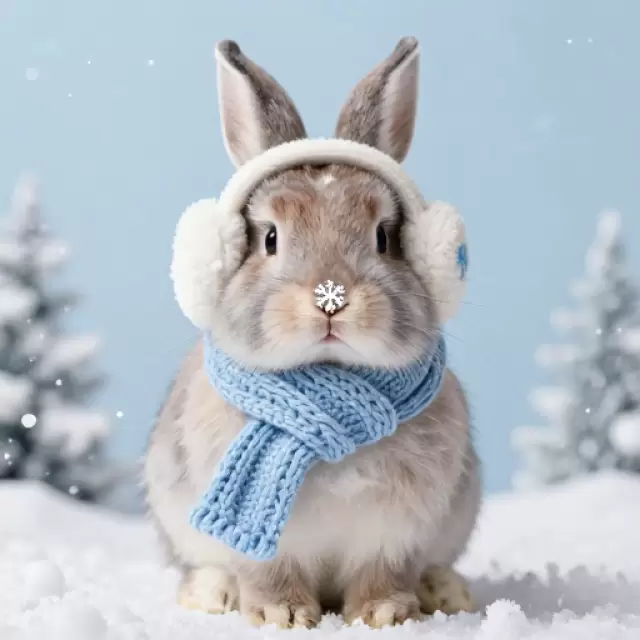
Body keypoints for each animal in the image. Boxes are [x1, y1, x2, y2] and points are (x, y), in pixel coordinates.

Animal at [144, 36, 481, 629]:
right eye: (270, 238)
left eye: (384, 236)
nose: (331, 298)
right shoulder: (264, 544)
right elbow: (266, 571)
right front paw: (282, 615)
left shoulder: (394, 533)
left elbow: (384, 572)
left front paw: (386, 615)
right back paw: (212, 594)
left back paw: (445, 592)